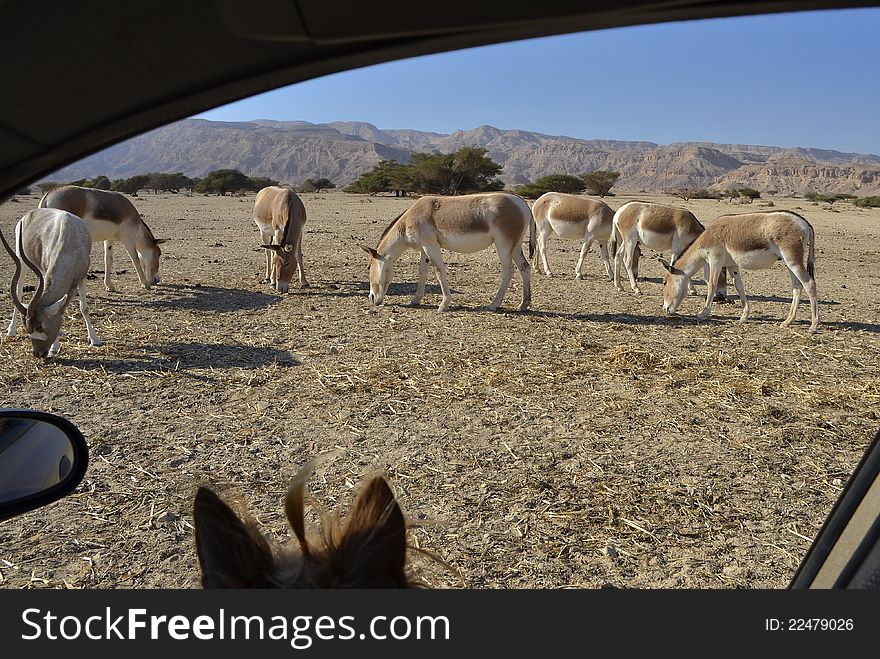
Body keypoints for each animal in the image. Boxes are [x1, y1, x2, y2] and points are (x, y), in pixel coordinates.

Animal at [2, 210, 103, 356]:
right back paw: (11, 330)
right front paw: (54, 348)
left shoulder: (82, 276)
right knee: (19, 291)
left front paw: (94, 340)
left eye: (40, 326)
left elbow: (84, 307)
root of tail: (30, 213)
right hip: (21, 261)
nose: (38, 353)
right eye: (27, 329)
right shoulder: (46, 271)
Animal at [38, 184, 168, 290]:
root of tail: (48, 195)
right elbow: (135, 260)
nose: (157, 280)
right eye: (159, 253)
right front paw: (145, 283)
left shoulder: (109, 239)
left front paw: (109, 285)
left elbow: (108, 260)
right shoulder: (129, 240)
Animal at [360, 192, 536, 314]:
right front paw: (416, 299)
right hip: (515, 245)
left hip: (503, 244)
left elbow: (439, 271)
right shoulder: (424, 248)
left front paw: (444, 305)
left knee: (508, 271)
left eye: (369, 267)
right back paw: (524, 304)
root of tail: (522, 202)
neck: (410, 218)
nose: (372, 298)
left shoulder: (431, 246)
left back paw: (493, 305)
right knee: (525, 268)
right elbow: (422, 272)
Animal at [660, 211, 820, 332]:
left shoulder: (715, 260)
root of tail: (805, 223)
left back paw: (813, 325)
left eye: (665, 282)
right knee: (797, 287)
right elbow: (739, 287)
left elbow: (712, 285)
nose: (665, 308)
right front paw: (744, 316)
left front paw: (703, 313)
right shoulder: (732, 265)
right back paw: (788, 321)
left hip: (792, 260)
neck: (707, 237)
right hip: (789, 263)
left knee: (809, 284)